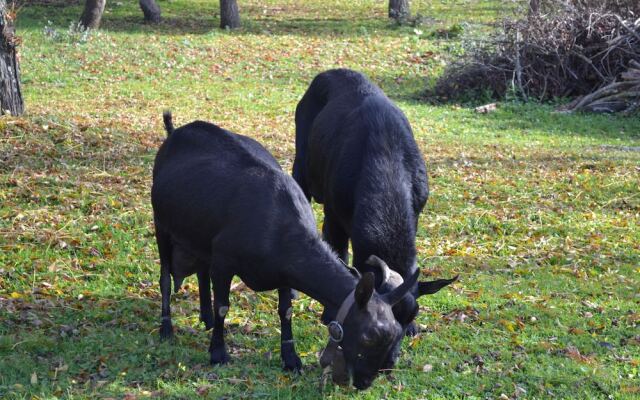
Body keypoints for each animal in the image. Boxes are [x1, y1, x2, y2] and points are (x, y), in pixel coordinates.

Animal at [152, 114, 418, 390]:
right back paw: (166, 328)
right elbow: (223, 306)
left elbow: (286, 311)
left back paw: (205, 318)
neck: (278, 226)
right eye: (368, 337)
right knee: (165, 279)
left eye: (396, 334)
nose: (364, 382)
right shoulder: (224, 262)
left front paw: (291, 358)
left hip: (200, 237)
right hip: (162, 225)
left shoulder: (282, 273)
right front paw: (218, 353)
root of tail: (175, 132)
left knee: (201, 271)